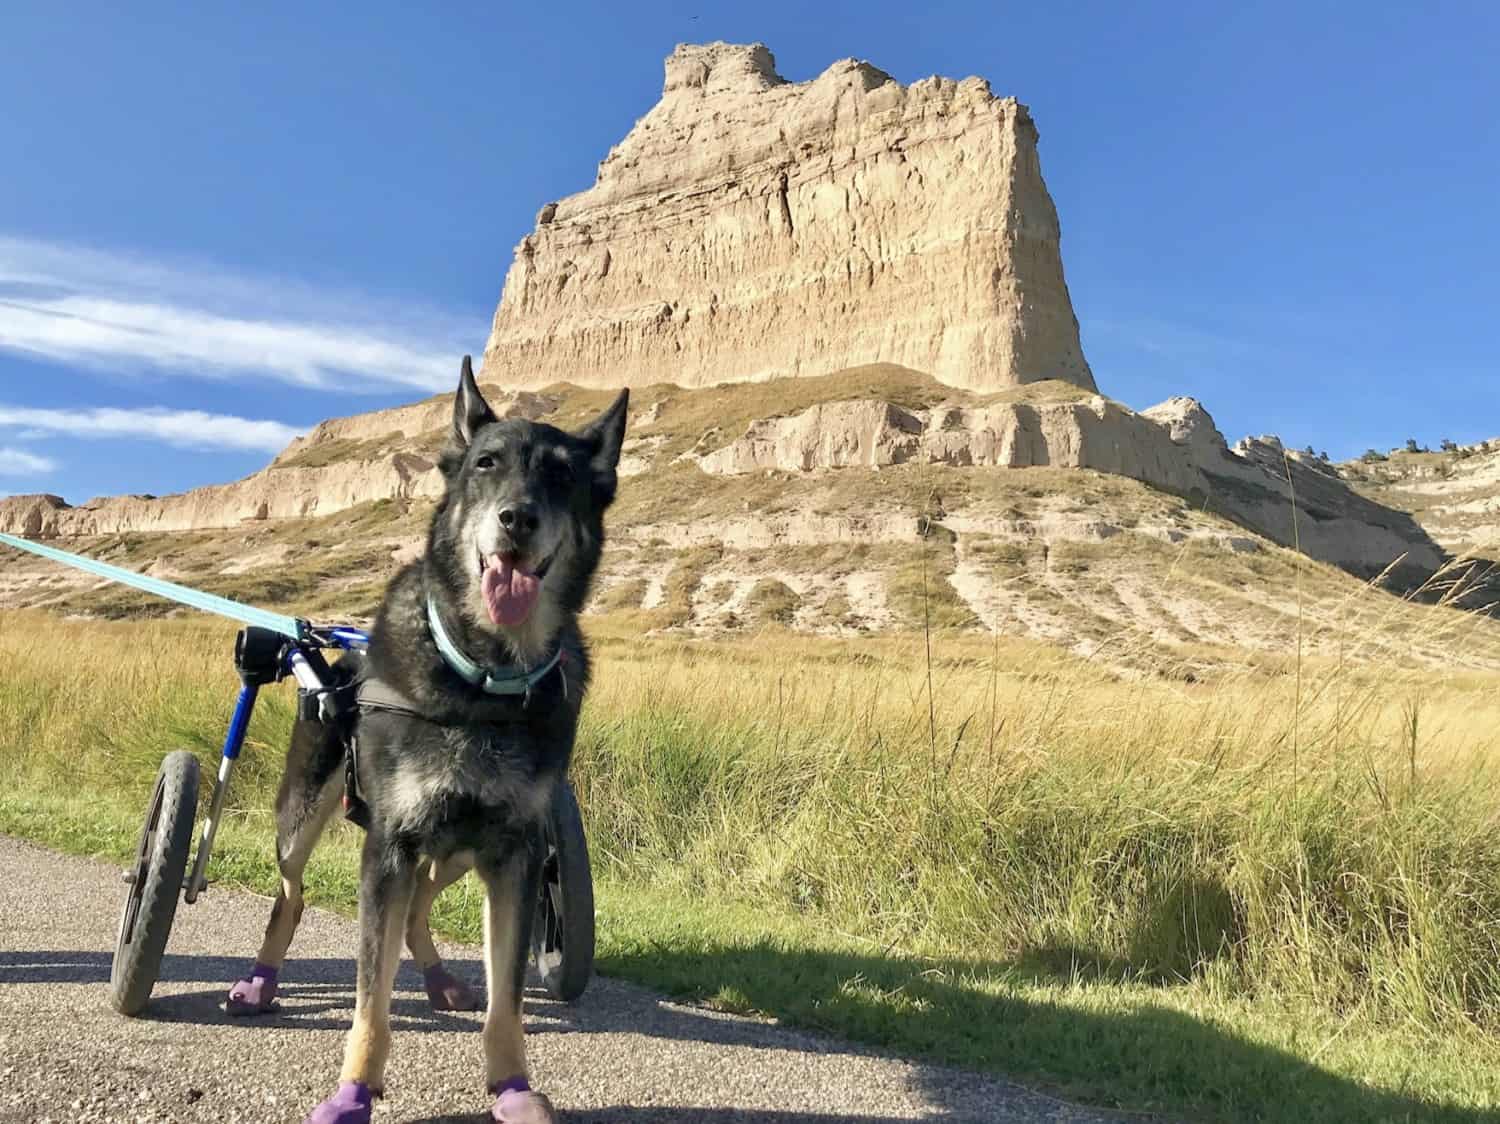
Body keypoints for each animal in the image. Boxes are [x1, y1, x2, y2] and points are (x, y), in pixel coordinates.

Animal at [225, 357, 624, 1122]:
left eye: (562, 476)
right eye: (486, 462)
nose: (517, 519)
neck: (484, 681)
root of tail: (339, 652)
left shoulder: (515, 853)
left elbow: (506, 1001)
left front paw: (511, 1088)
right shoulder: (390, 847)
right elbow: (371, 1000)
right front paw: (353, 1092)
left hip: (459, 849)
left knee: (419, 912)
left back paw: (439, 981)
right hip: (305, 814)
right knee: (291, 895)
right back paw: (259, 982)